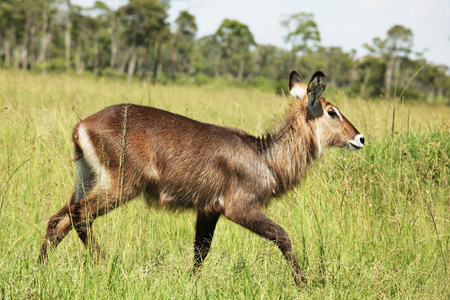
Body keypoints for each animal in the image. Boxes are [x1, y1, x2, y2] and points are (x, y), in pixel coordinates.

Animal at [37, 69, 364, 286]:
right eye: (332, 112)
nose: (360, 138)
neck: (265, 158)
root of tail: (82, 125)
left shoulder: (208, 209)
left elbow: (200, 251)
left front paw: (189, 283)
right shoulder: (238, 207)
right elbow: (283, 236)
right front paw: (303, 283)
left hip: (87, 179)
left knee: (59, 219)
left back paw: (39, 268)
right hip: (121, 185)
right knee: (80, 215)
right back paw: (104, 265)